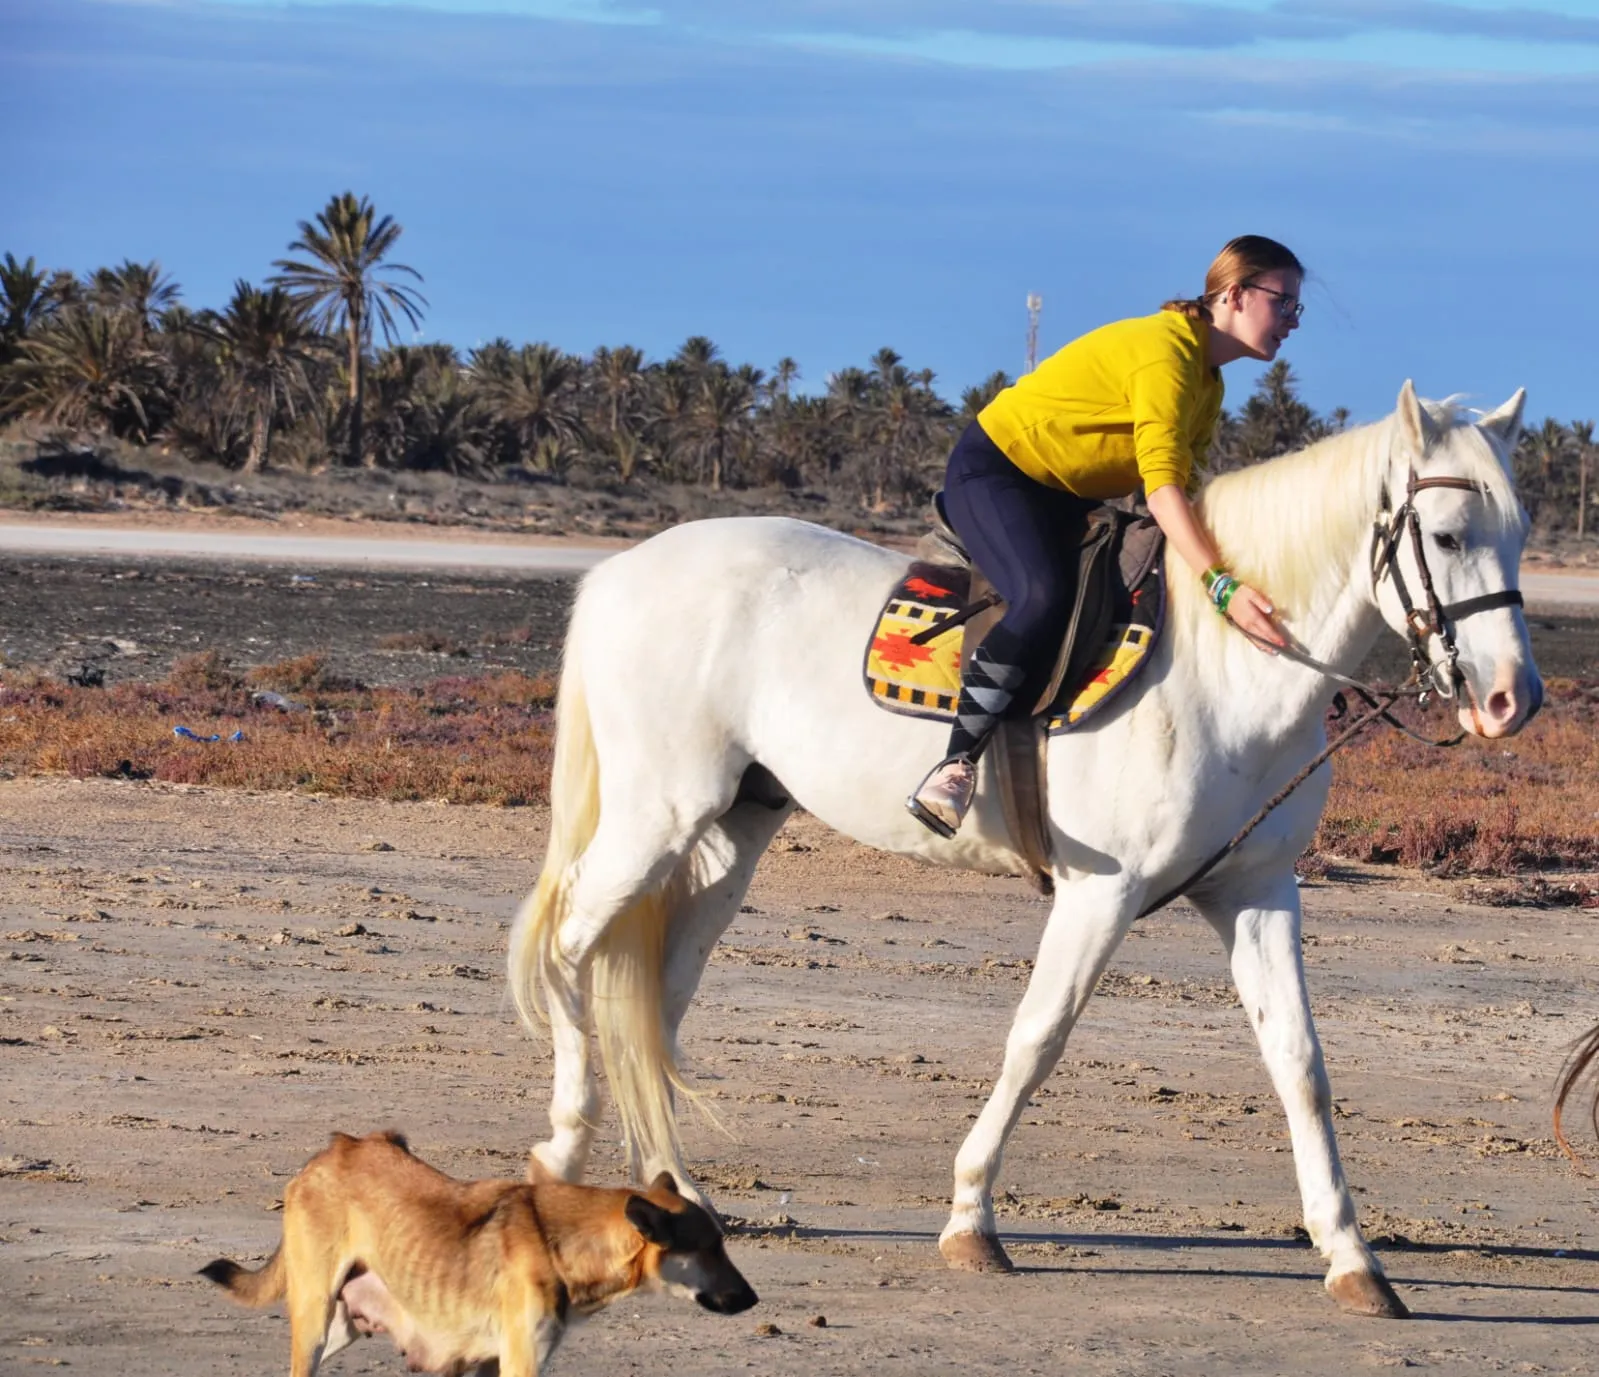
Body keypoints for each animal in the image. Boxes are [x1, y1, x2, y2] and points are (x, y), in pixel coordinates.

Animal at [508, 381, 1541, 1319]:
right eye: (1446, 534)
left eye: (1521, 530)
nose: (1510, 700)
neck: (1224, 667)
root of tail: (621, 570)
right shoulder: (1100, 892)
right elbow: (1037, 1036)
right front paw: (971, 1218)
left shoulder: (1255, 889)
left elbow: (1299, 1063)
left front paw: (1351, 1257)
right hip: (656, 817)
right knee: (568, 948)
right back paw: (561, 1147)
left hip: (733, 829)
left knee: (658, 996)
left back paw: (676, 1190)